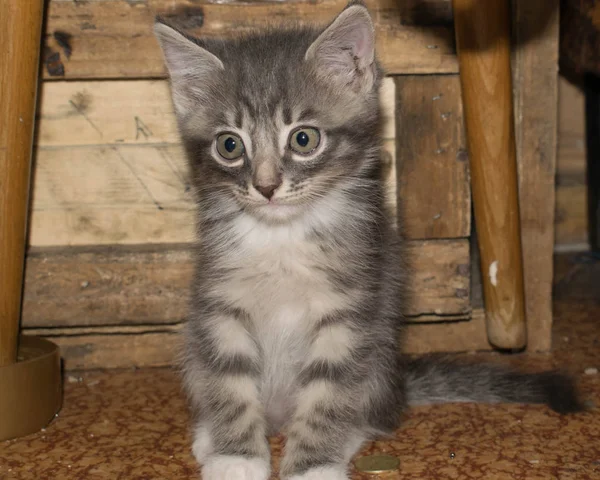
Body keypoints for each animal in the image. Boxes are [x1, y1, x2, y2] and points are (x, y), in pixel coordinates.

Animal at [154, 4, 580, 480]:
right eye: (230, 145)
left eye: (304, 138)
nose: (265, 188)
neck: (283, 237)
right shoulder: (220, 305)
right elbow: (228, 382)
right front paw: (236, 456)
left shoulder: (351, 309)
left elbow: (329, 393)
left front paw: (313, 466)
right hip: (193, 346)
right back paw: (210, 435)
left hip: (378, 359)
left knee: (372, 412)